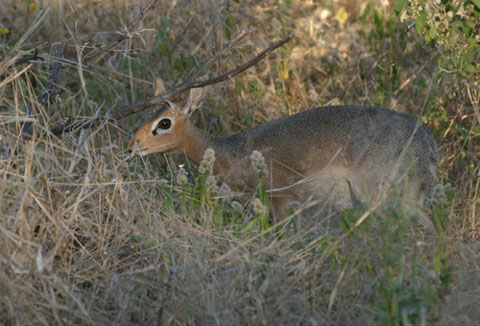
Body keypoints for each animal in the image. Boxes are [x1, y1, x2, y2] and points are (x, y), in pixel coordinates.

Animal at [128, 85, 438, 215]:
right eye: (144, 116)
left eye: (164, 123)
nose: (133, 146)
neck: (233, 150)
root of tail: (427, 143)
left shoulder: (280, 199)